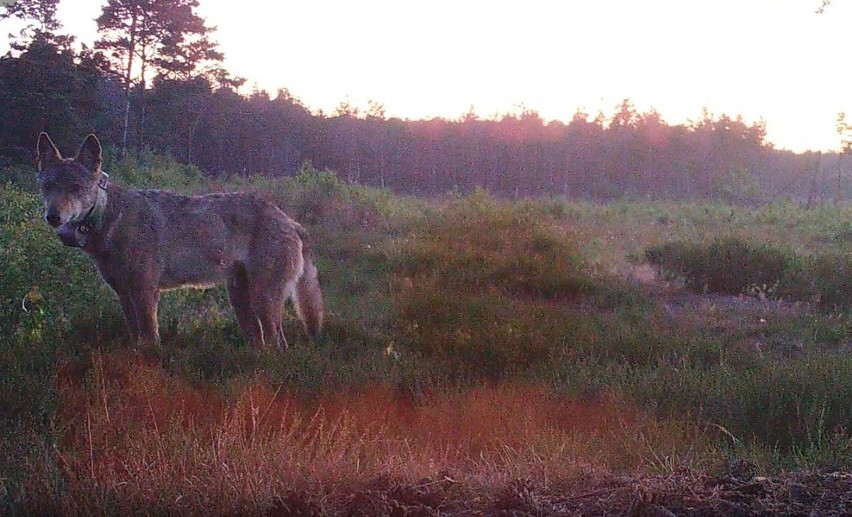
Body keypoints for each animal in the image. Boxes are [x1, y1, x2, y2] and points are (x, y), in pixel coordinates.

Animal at [35, 133, 322, 350]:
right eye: (48, 187)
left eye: (75, 187)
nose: (53, 217)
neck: (110, 220)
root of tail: (292, 222)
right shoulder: (124, 295)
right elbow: (135, 339)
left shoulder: (145, 292)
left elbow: (150, 341)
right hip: (241, 301)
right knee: (261, 342)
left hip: (263, 300)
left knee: (278, 344)